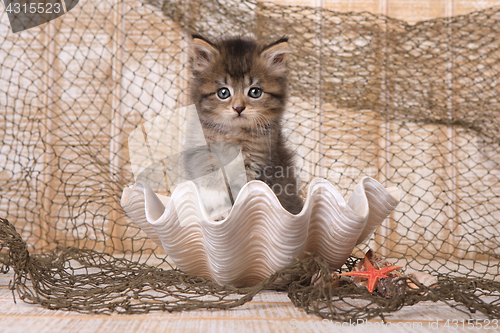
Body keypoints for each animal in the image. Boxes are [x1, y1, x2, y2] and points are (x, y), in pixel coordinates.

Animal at [184, 33, 302, 214]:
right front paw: (214, 195)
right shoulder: (197, 144)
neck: (234, 134)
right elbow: (207, 162)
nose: (238, 108)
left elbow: (243, 191)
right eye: (223, 92)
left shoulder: (258, 161)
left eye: (255, 92)